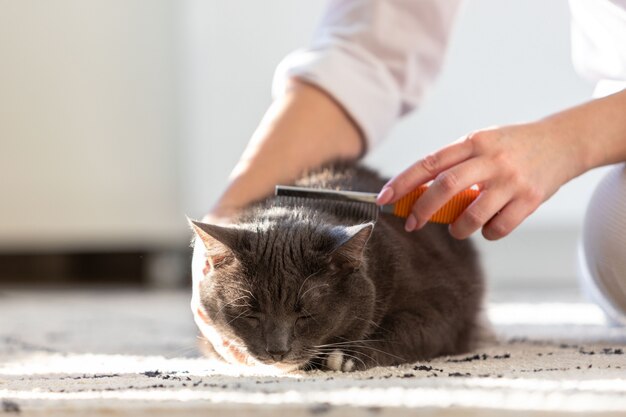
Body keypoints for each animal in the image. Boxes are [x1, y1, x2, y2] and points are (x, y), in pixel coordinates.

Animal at [190, 162, 482, 370]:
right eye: (249, 314)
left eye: (307, 315)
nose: (277, 350)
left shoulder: (444, 303)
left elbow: (408, 328)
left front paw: (348, 357)